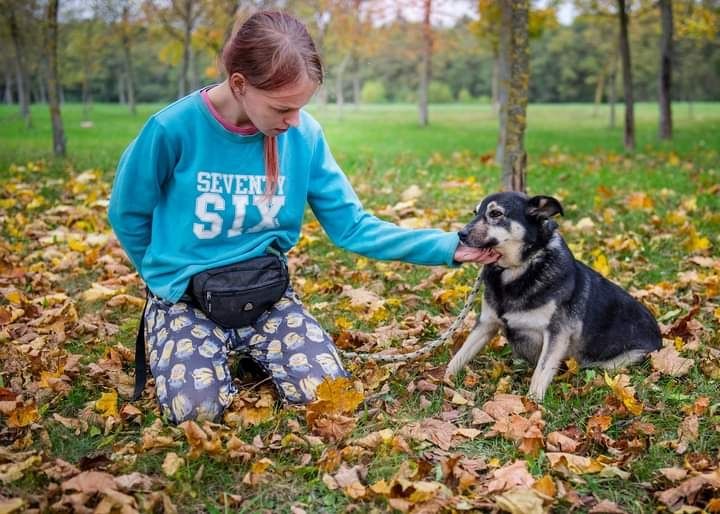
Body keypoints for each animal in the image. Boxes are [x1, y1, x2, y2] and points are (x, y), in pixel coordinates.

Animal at [448, 192, 660, 400]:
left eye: (496, 214)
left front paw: (533, 403)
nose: (460, 234)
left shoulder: (557, 333)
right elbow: (460, 354)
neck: (519, 269)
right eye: (475, 212)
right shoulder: (486, 323)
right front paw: (445, 379)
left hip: (621, 360)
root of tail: (660, 337)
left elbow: (541, 372)